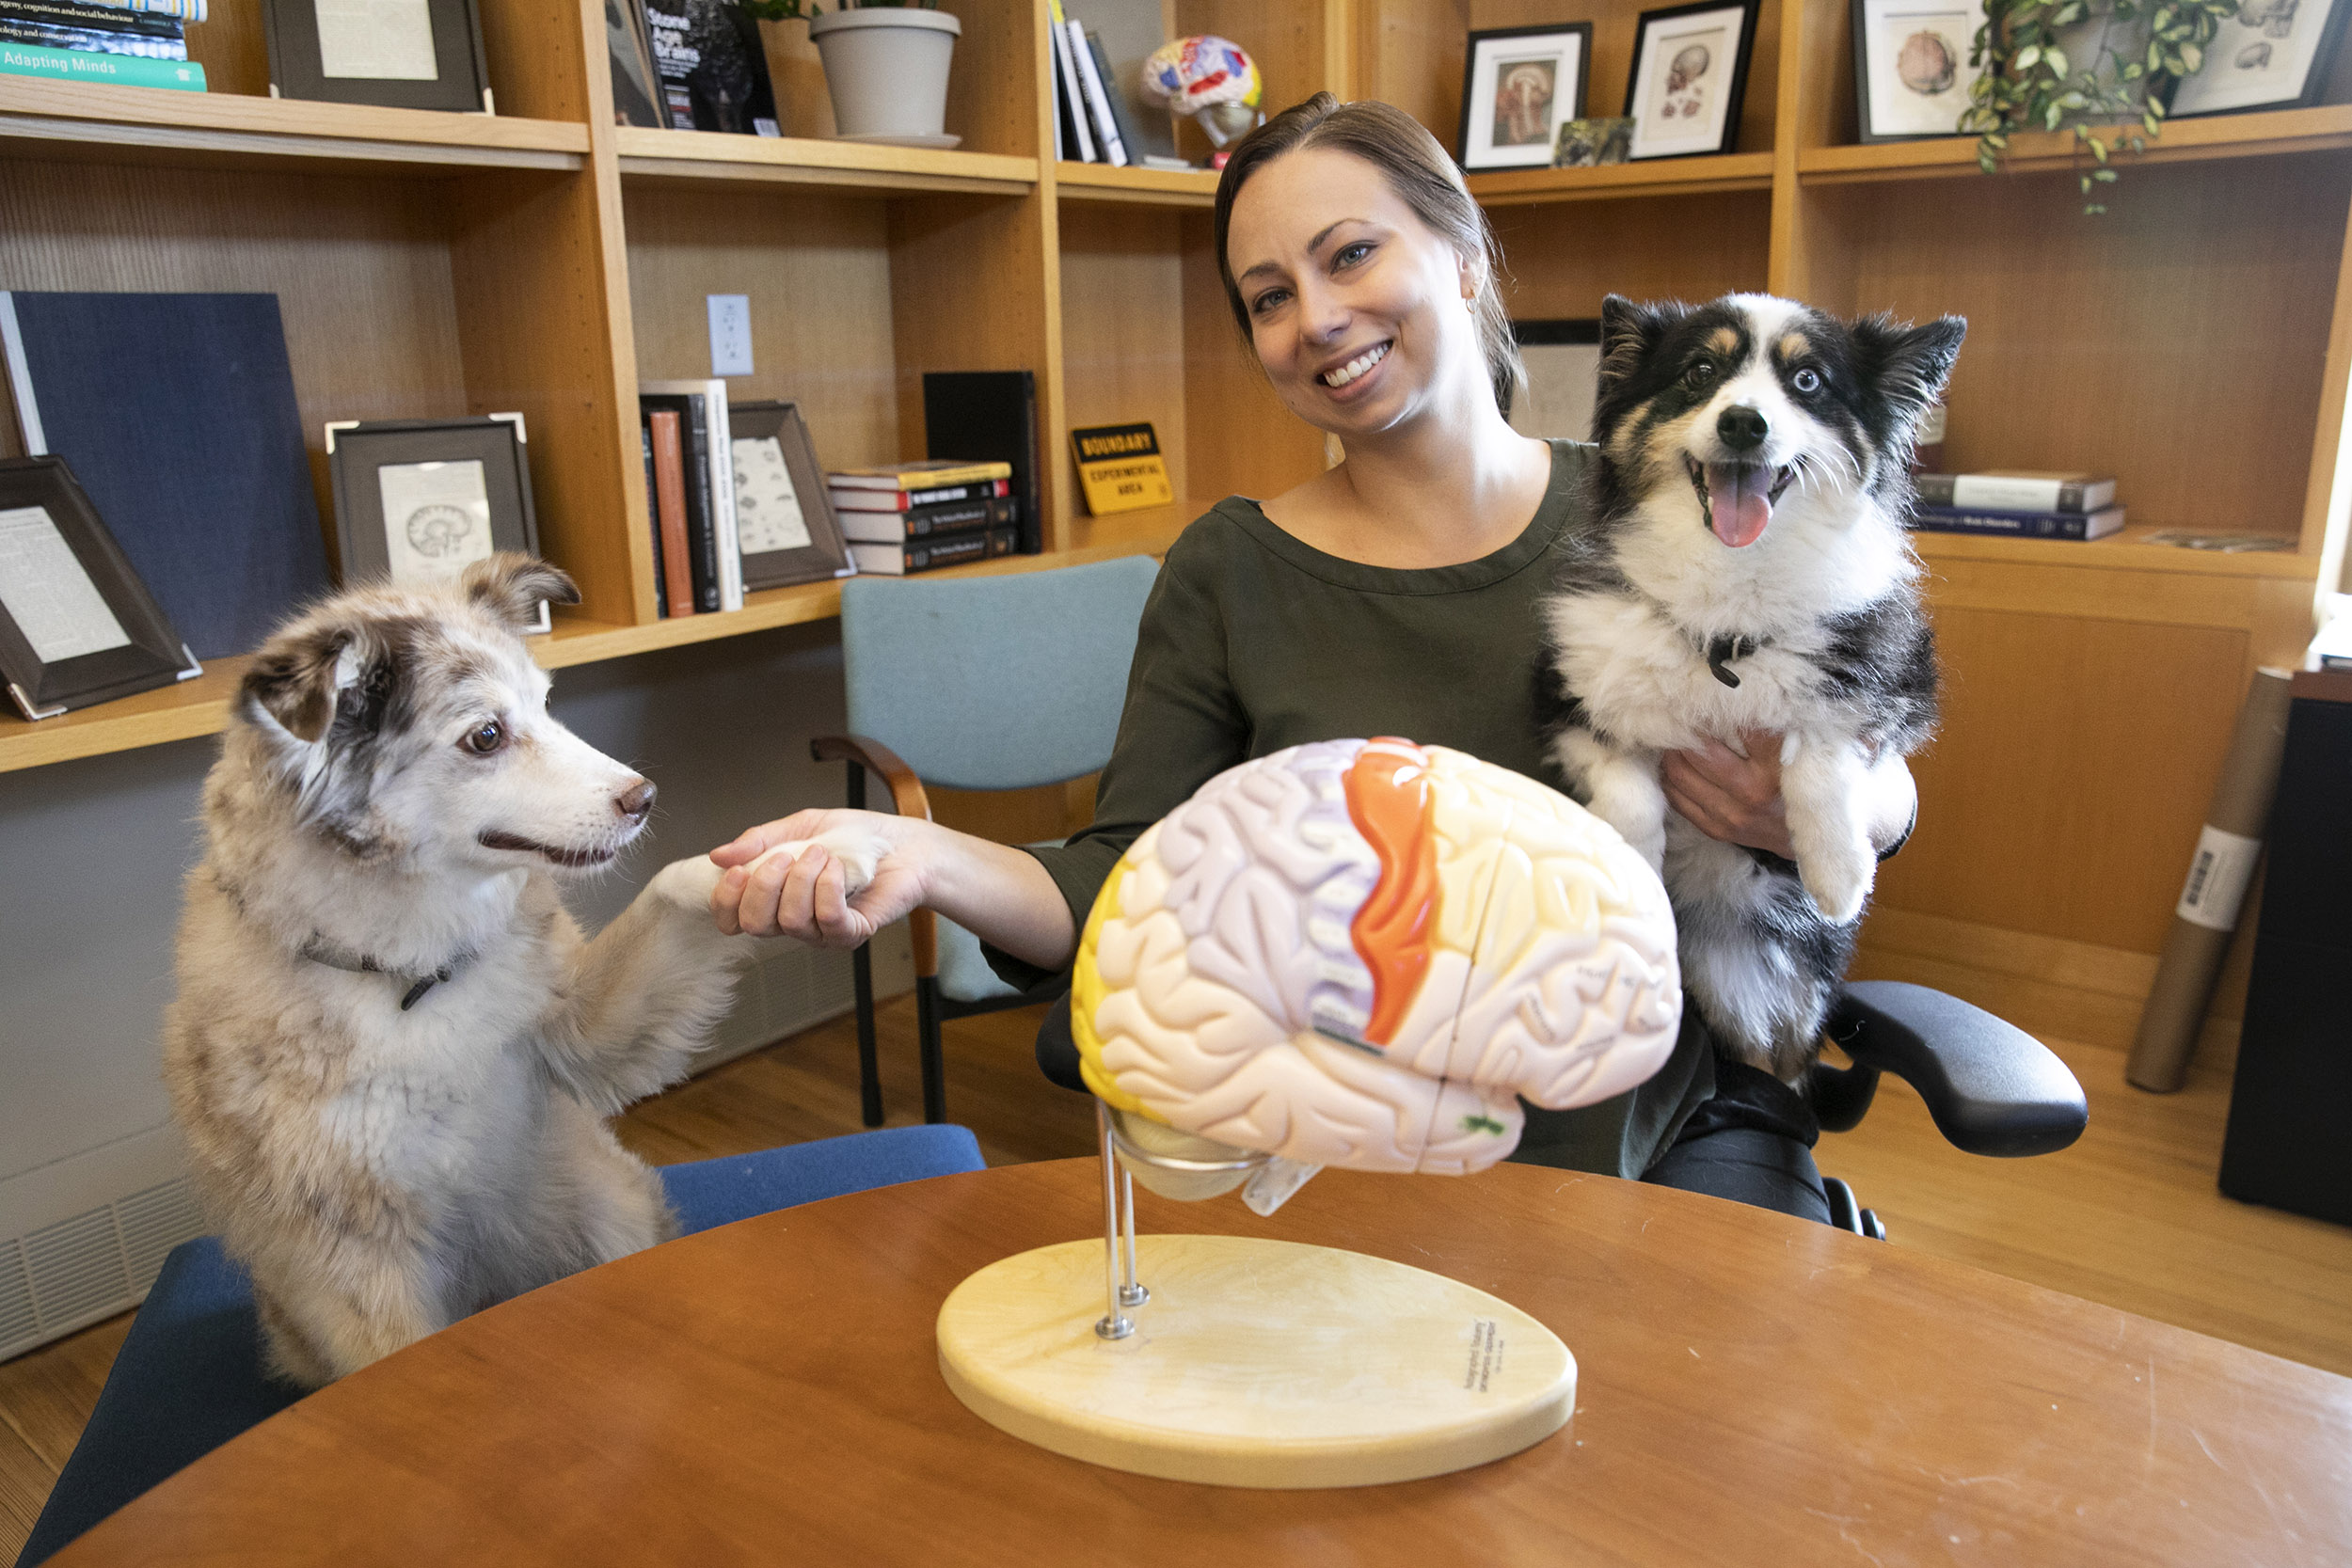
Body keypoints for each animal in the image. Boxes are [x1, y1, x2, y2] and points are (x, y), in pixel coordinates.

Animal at [167, 554, 753, 1382]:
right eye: (485, 735)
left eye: (547, 704)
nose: (644, 797)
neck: (409, 978)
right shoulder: (357, 1256)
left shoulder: (579, 1031)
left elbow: (672, 885)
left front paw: (781, 864)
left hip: (603, 1198)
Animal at [1543, 291, 1966, 1081]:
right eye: (1700, 371)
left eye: (1807, 382)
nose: (1744, 422)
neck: (1729, 603)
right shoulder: (1574, 699)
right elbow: (1630, 799)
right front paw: (1635, 879)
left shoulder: (1888, 685)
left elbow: (1819, 756)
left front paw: (1839, 875)